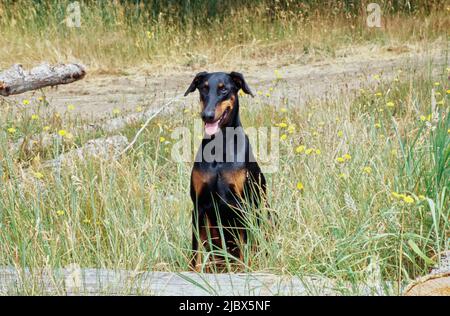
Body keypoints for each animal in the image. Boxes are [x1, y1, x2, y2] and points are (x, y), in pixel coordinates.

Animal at [184, 71, 268, 272]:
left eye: (223, 89)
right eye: (204, 88)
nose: (207, 116)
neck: (219, 147)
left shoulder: (244, 206)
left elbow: (246, 245)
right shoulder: (198, 206)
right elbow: (196, 250)